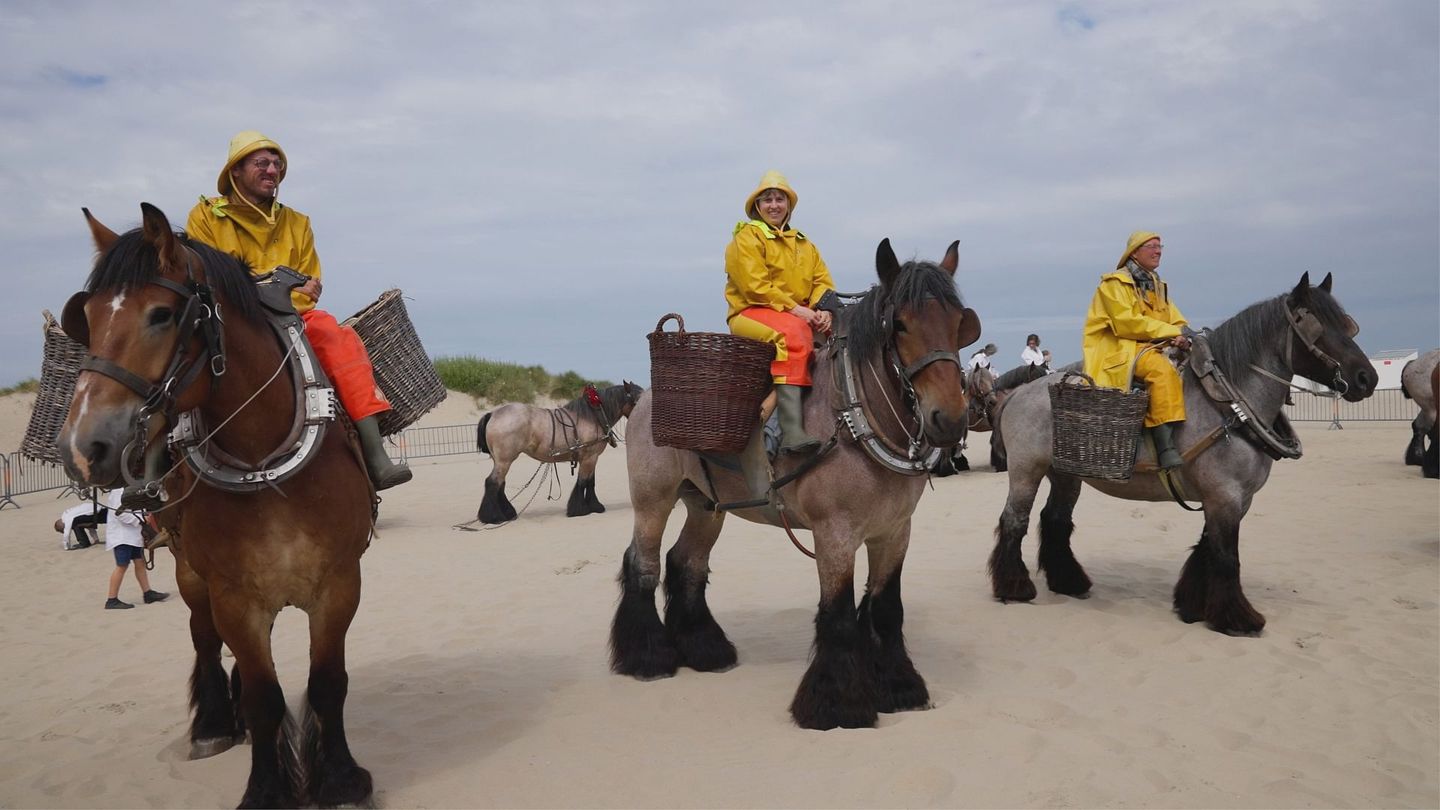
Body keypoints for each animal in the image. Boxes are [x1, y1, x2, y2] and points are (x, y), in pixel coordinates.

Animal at [56, 203, 374, 807]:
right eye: (87, 318)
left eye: (160, 314)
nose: (83, 448)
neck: (264, 465)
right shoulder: (232, 596)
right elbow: (263, 697)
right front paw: (268, 787)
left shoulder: (339, 585)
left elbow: (328, 684)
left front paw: (341, 776)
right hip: (190, 574)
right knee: (203, 639)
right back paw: (213, 724)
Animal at [475, 380, 645, 518]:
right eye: (636, 401)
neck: (593, 416)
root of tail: (493, 414)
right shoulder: (589, 457)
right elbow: (583, 482)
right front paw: (579, 509)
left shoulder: (591, 457)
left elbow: (590, 482)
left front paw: (594, 506)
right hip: (504, 461)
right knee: (492, 482)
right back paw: (494, 517)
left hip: (501, 461)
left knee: (500, 484)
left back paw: (507, 513)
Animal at [610, 237, 990, 726]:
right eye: (900, 325)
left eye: (959, 324)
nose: (950, 420)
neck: (855, 417)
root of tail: (644, 397)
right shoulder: (835, 534)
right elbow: (839, 616)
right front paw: (838, 704)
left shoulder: (894, 531)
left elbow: (886, 609)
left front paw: (899, 685)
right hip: (652, 500)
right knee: (644, 563)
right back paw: (648, 657)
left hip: (707, 506)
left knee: (685, 563)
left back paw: (705, 648)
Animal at [990, 273, 1370, 634]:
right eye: (1317, 327)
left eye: (1348, 325)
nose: (1367, 378)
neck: (1231, 405)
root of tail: (1019, 392)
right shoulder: (1224, 496)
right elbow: (1226, 556)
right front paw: (1236, 618)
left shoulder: (1235, 499)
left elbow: (1207, 549)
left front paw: (1194, 605)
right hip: (1026, 470)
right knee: (1015, 520)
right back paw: (1014, 587)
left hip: (1067, 474)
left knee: (1055, 520)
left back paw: (1068, 581)